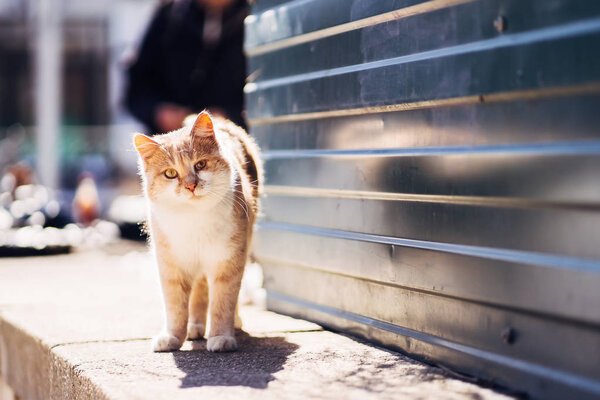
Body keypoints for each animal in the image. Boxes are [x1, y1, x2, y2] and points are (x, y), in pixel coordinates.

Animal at [135, 111, 262, 352]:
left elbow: (223, 303)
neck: (194, 218)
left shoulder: (228, 262)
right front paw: (173, 337)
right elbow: (175, 306)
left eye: (200, 164)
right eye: (170, 173)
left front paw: (221, 337)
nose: (191, 185)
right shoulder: (171, 266)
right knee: (199, 291)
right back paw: (194, 327)